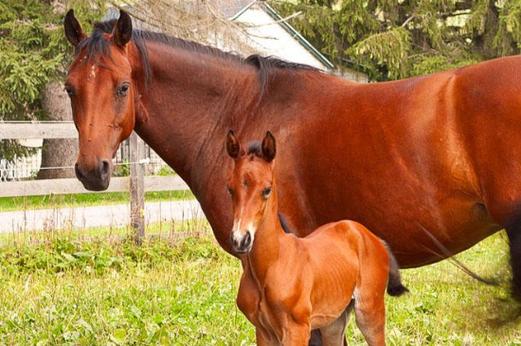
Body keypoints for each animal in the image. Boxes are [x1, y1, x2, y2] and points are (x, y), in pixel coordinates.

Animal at [225, 131, 408, 344]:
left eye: (267, 189)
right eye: (230, 189)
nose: (240, 239)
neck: (272, 263)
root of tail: (373, 237)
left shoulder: (297, 330)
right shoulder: (263, 332)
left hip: (369, 312)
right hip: (334, 322)